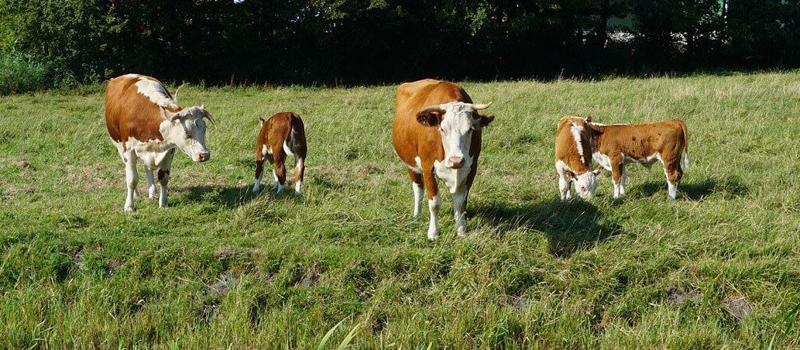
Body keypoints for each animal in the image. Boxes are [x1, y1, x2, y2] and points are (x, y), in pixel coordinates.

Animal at [104, 73, 214, 212]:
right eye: (187, 132)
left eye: (204, 129)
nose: (204, 155)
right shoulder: (128, 150)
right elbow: (132, 179)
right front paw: (129, 206)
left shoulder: (169, 150)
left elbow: (163, 178)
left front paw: (163, 203)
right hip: (119, 146)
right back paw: (136, 194)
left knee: (148, 168)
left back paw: (152, 191)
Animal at [392, 78, 496, 241]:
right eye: (442, 129)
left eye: (470, 129)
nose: (456, 161)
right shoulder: (428, 167)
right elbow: (434, 203)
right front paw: (433, 233)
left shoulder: (471, 168)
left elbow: (461, 203)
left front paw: (461, 230)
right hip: (410, 164)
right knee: (418, 188)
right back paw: (416, 215)